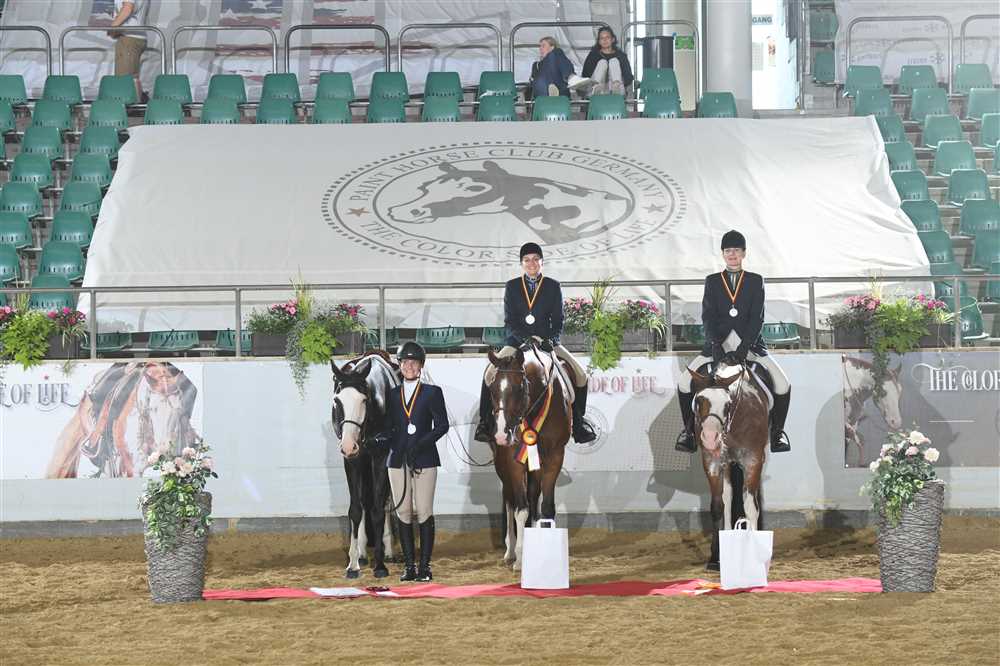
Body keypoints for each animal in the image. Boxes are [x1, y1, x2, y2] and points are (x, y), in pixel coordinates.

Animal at [330, 350, 400, 579]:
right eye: (337, 400)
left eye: (363, 399)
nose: (348, 445)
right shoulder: (353, 460)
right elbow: (356, 509)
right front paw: (353, 565)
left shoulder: (381, 457)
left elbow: (378, 510)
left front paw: (380, 565)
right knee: (364, 501)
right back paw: (361, 553)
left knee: (385, 502)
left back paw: (388, 551)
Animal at [484, 343, 573, 570]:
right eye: (492, 389)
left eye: (518, 388)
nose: (501, 434)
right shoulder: (513, 462)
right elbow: (520, 509)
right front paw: (520, 557)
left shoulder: (554, 457)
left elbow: (545, 507)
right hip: (502, 464)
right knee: (509, 499)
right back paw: (510, 551)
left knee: (533, 497)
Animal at [690, 359, 771, 570]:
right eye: (699, 400)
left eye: (727, 404)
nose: (710, 437)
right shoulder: (712, 462)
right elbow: (718, 506)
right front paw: (715, 557)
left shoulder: (753, 461)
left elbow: (750, 506)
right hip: (725, 464)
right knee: (727, 497)